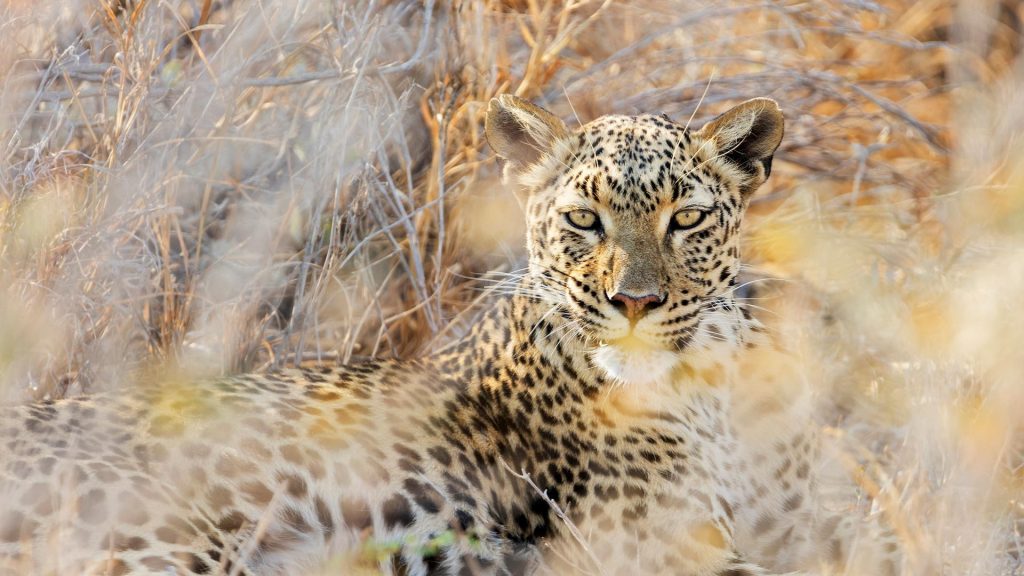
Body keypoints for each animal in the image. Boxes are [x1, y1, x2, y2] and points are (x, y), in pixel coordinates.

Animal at [0, 94, 899, 576]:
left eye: (685, 220)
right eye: (584, 220)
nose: (635, 302)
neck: (705, 385)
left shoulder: (805, 526)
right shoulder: (655, 551)